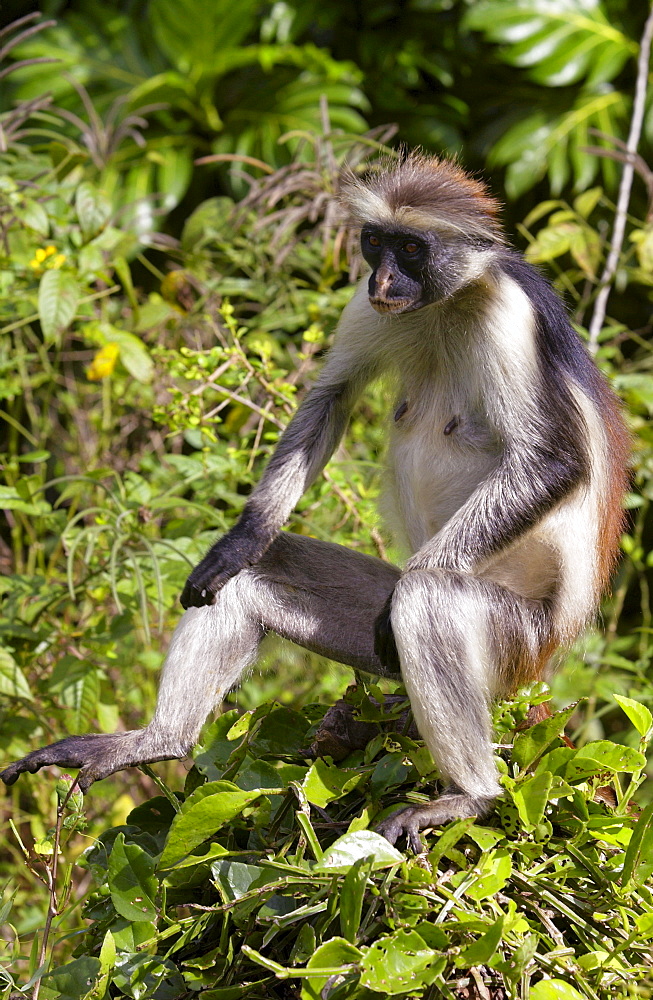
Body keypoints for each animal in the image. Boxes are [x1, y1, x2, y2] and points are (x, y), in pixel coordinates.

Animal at [1, 156, 632, 852]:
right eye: (376, 243)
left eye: (413, 250)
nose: (383, 277)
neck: (446, 302)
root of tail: (547, 655)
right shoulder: (372, 304)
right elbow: (331, 397)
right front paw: (242, 538)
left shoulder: (509, 314)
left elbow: (553, 464)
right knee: (253, 580)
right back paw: (157, 740)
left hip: (514, 637)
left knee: (423, 598)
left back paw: (470, 795)